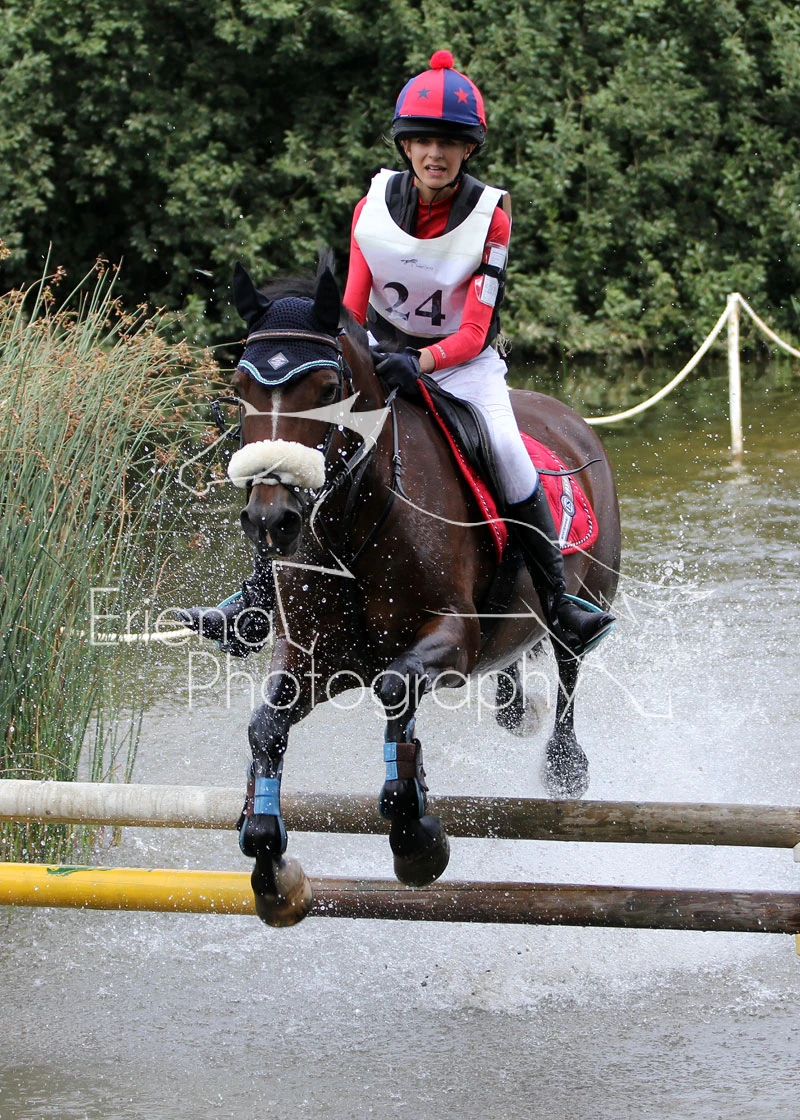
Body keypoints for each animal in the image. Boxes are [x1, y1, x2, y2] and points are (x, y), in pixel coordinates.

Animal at [222, 258, 621, 926]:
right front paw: (268, 858)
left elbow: (393, 689)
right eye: (239, 389)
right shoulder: (312, 658)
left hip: (590, 595)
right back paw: (517, 709)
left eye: (327, 389)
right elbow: (265, 728)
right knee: (514, 664)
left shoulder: (450, 641)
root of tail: (569, 420)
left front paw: (415, 837)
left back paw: (566, 765)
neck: (354, 529)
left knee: (569, 664)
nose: (269, 520)